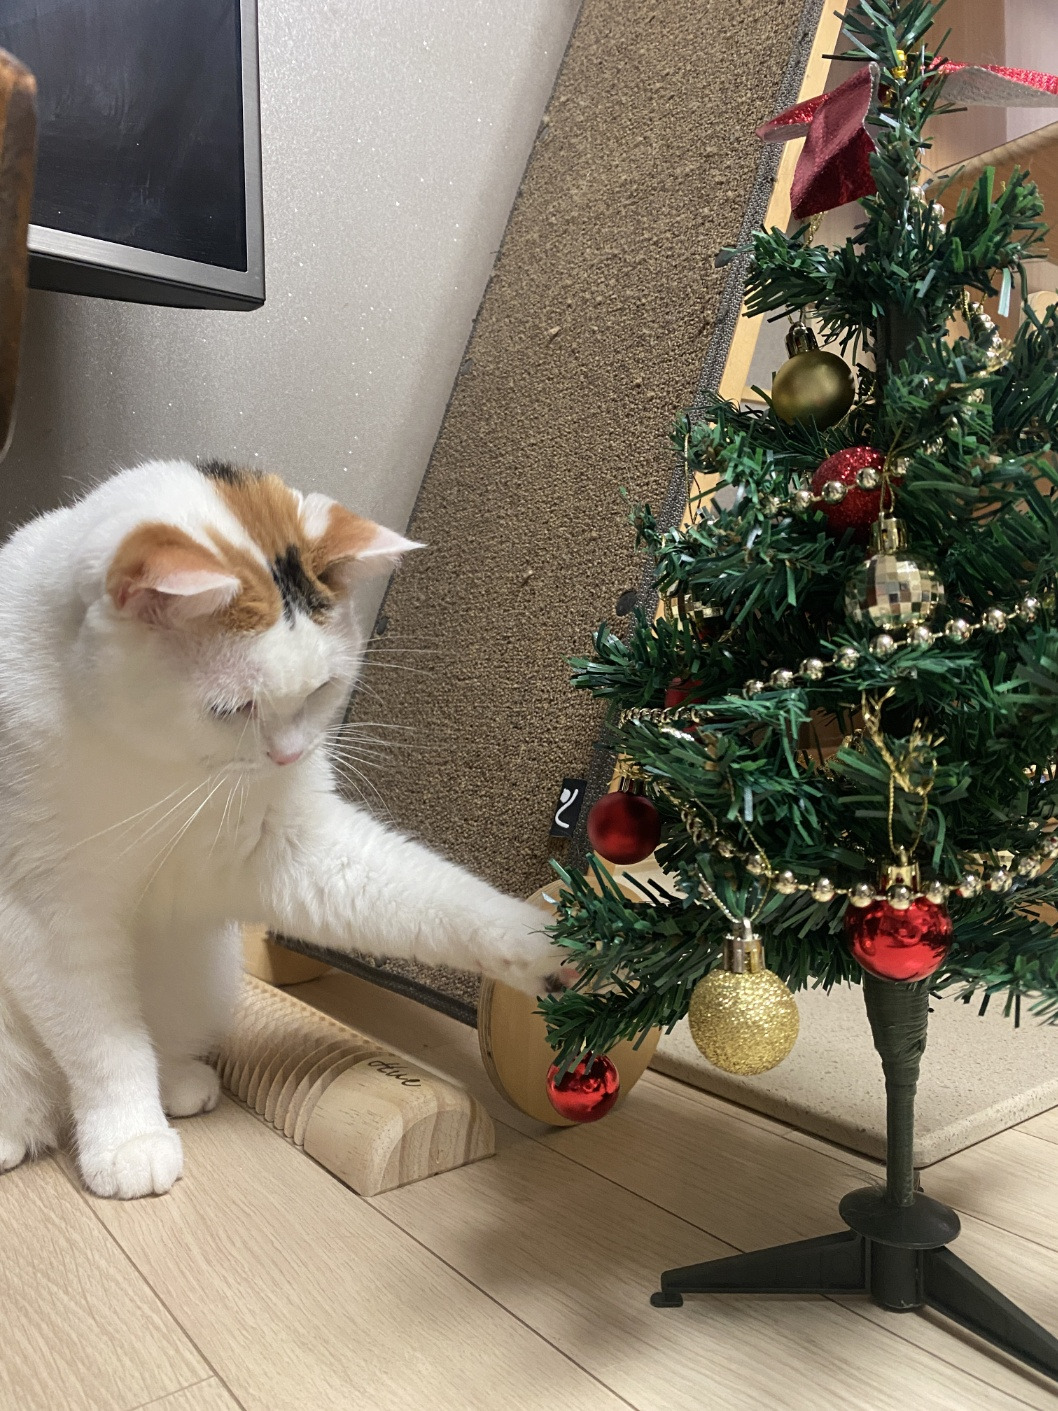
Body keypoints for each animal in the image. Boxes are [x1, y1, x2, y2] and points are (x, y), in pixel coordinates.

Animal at [0, 458, 562, 1199]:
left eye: (322, 690)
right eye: (232, 707)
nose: (291, 755)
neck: (156, 768)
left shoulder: (288, 846)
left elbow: (439, 898)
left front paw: (559, 947)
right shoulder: (51, 916)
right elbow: (104, 1044)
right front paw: (129, 1139)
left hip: (199, 977)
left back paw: (178, 1082)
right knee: (47, 1084)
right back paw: (17, 1129)